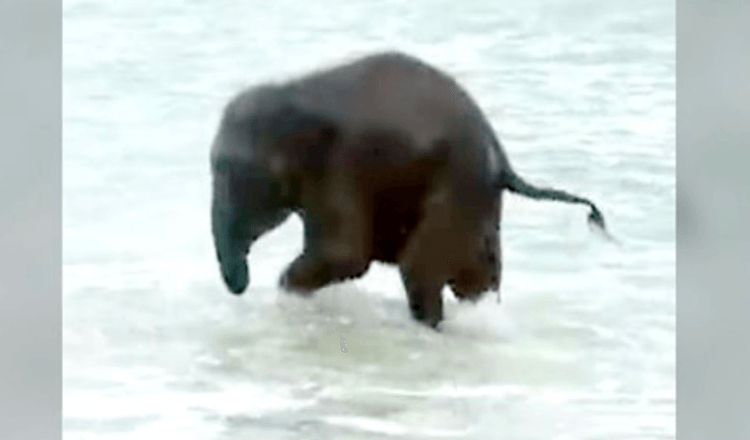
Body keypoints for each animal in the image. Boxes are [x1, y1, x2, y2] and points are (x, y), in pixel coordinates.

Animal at [210, 50, 612, 326]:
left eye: (226, 169)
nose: (239, 287)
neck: (295, 91)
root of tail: (501, 160)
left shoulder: (345, 165)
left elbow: (346, 255)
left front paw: (287, 298)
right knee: (477, 278)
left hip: (454, 191)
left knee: (420, 270)